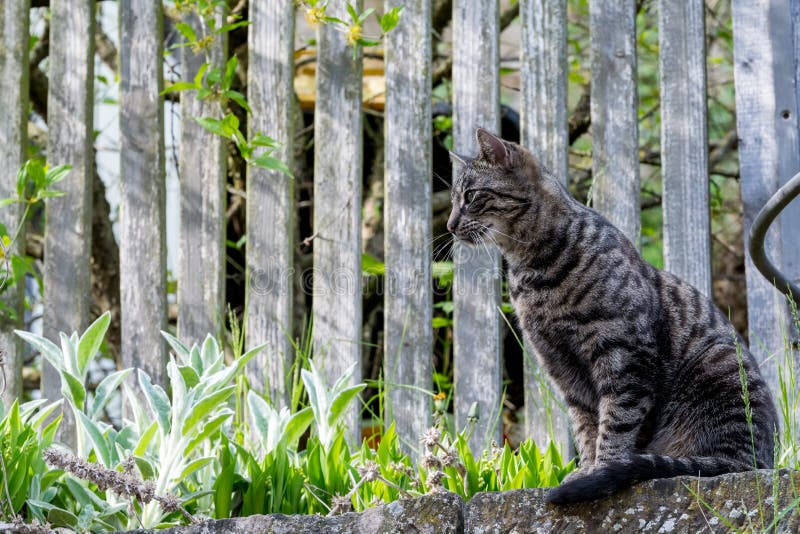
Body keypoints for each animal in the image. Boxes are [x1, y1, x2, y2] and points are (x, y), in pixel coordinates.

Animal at [446, 127, 780, 504]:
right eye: (454, 199)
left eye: (471, 196)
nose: (450, 225)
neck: (535, 272)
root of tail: (759, 461)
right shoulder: (562, 366)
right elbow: (586, 425)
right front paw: (587, 468)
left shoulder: (624, 354)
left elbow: (617, 420)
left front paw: (602, 469)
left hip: (718, 376)